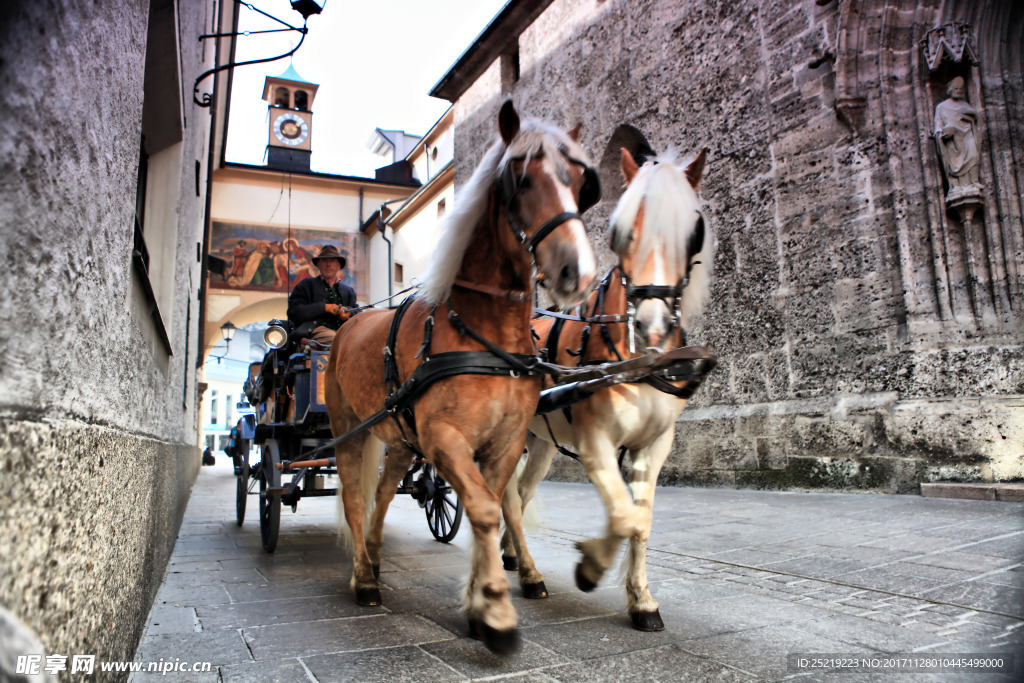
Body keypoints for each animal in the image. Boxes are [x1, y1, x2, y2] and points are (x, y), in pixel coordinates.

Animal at [325, 100, 598, 651]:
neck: (482, 330)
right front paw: (495, 610)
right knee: (354, 497)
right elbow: (488, 511)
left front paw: (480, 600)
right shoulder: (444, 438)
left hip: (399, 438)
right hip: (349, 432)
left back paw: (375, 556)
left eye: (581, 181)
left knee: (382, 493)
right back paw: (363, 577)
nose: (575, 271)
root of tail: (348, 323)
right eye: (521, 178)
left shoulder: (504, 443)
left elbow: (488, 508)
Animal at [497, 147, 712, 634]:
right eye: (621, 231)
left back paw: (511, 553)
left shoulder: (655, 444)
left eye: (692, 235)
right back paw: (531, 573)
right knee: (509, 499)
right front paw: (592, 566)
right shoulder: (595, 442)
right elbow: (621, 513)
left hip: (541, 443)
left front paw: (642, 600)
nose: (652, 323)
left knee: (520, 493)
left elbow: (642, 518)